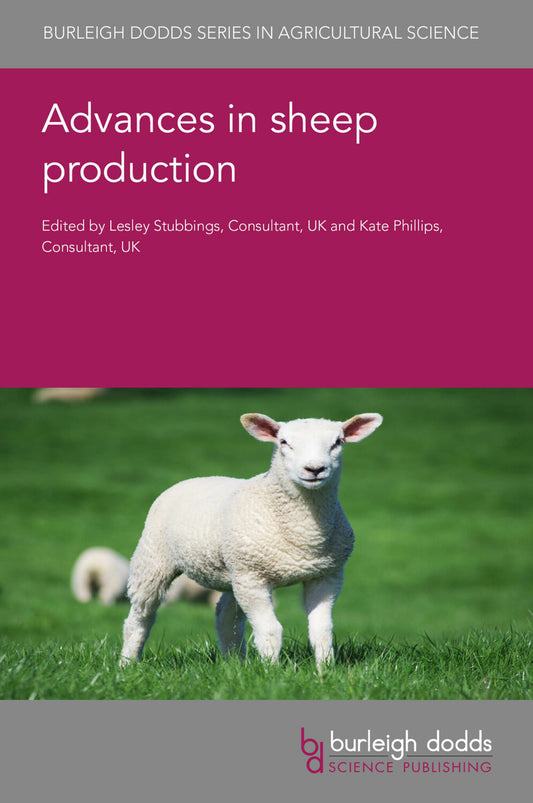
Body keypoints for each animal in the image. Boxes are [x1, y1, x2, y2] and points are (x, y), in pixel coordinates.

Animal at [120, 411, 383, 668]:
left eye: (337, 442)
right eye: (284, 442)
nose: (315, 469)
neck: (304, 536)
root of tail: (195, 478)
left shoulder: (326, 576)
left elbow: (322, 630)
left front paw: (325, 671)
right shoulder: (252, 578)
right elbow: (270, 631)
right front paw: (271, 673)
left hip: (233, 572)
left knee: (225, 616)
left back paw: (235, 664)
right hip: (153, 559)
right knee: (140, 618)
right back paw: (127, 665)